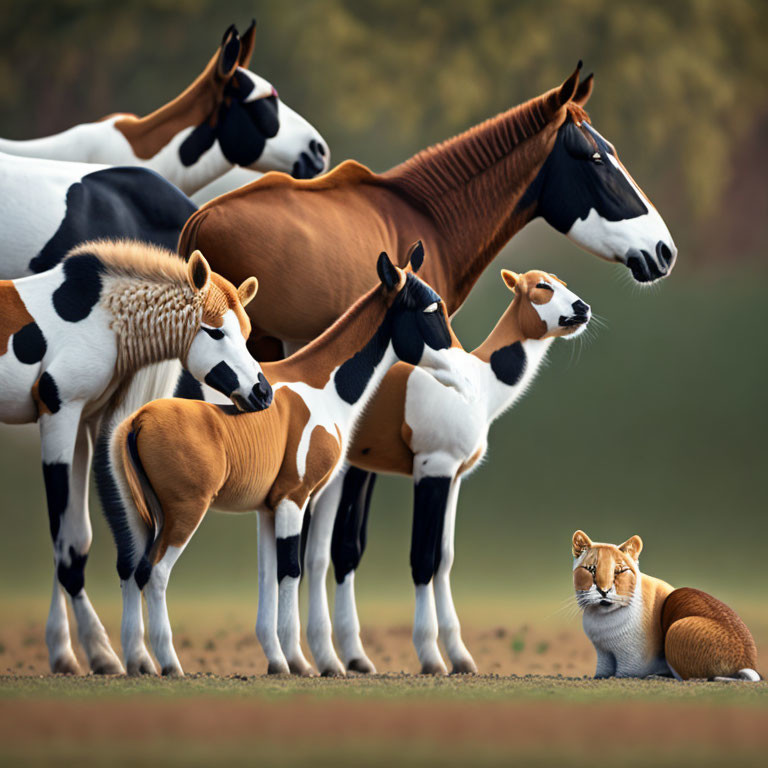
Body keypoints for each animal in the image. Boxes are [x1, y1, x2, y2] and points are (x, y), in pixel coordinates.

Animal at [0, 240, 272, 672]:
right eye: (214, 331)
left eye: (245, 334)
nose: (262, 393)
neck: (97, 318)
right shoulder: (58, 415)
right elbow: (64, 543)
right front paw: (99, 653)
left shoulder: (84, 423)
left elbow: (77, 537)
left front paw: (94, 653)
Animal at [97, 246, 456, 680]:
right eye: (429, 310)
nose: (458, 364)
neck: (320, 388)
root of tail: (138, 420)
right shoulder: (293, 501)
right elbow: (292, 571)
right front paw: (300, 663)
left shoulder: (268, 511)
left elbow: (268, 577)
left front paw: (278, 662)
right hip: (183, 516)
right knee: (154, 573)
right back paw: (169, 664)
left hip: (140, 517)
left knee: (131, 570)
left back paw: (138, 663)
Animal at [304, 268, 592, 676]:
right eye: (542, 286)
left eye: (562, 282)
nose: (583, 309)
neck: (476, 384)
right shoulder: (432, 469)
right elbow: (422, 558)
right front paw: (431, 657)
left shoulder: (454, 479)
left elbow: (444, 559)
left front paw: (460, 656)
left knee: (326, 552)